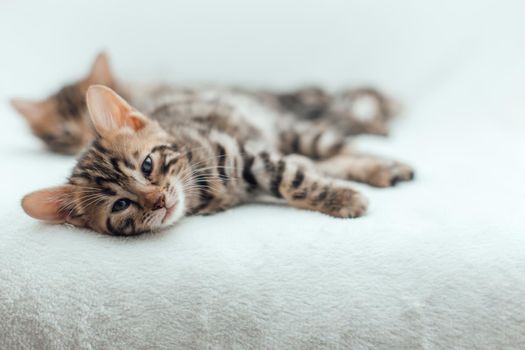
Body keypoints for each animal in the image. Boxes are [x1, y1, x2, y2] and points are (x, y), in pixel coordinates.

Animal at [20, 85, 414, 235]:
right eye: (120, 205)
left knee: (336, 146)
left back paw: (385, 166)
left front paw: (343, 197)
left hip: (293, 131)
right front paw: (341, 194)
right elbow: (297, 173)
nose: (159, 200)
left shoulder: (245, 152)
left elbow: (291, 179)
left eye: (147, 165)